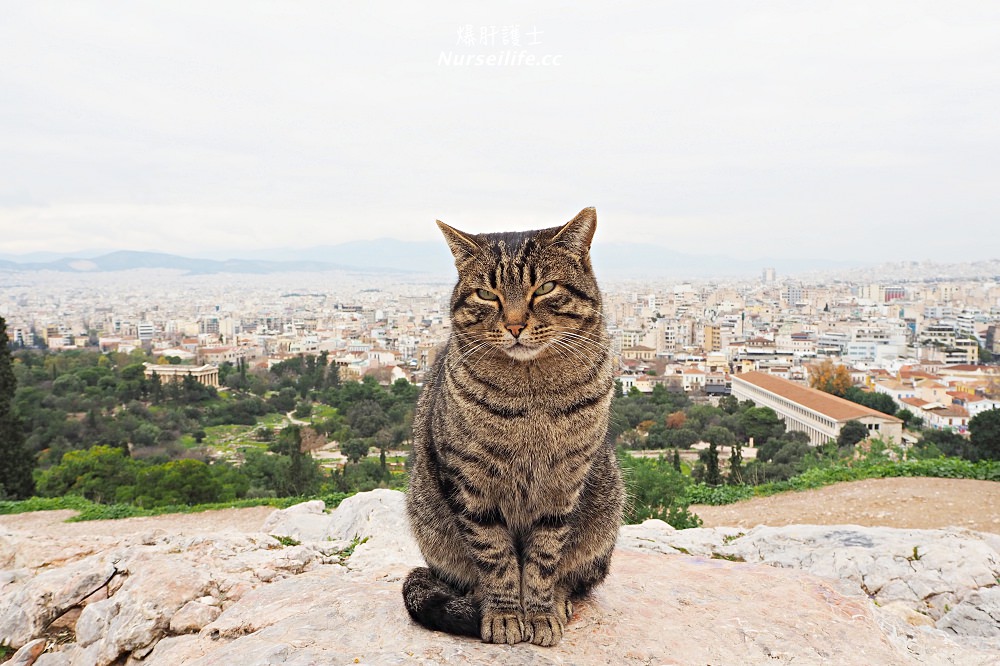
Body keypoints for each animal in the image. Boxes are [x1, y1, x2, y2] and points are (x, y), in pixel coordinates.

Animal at [400, 206, 620, 644]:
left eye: (546, 287)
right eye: (487, 294)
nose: (515, 325)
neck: (531, 392)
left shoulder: (563, 485)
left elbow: (544, 558)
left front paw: (539, 612)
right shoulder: (470, 481)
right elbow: (494, 554)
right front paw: (503, 613)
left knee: (576, 577)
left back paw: (559, 599)